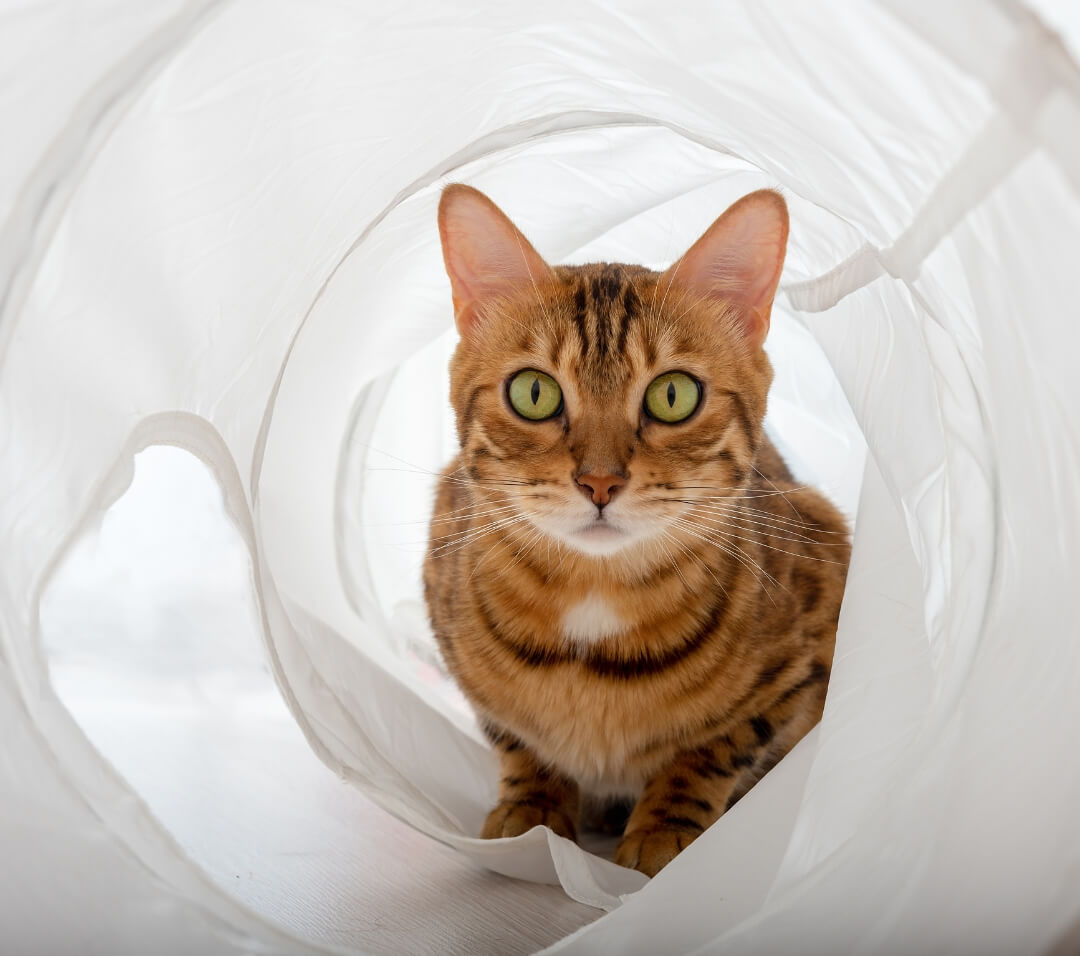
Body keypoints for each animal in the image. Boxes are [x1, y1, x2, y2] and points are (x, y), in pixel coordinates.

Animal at [423, 182, 851, 877]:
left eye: (673, 395)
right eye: (534, 392)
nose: (600, 482)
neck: (595, 604)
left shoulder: (815, 635)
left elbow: (715, 745)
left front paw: (665, 828)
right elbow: (518, 740)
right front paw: (531, 811)